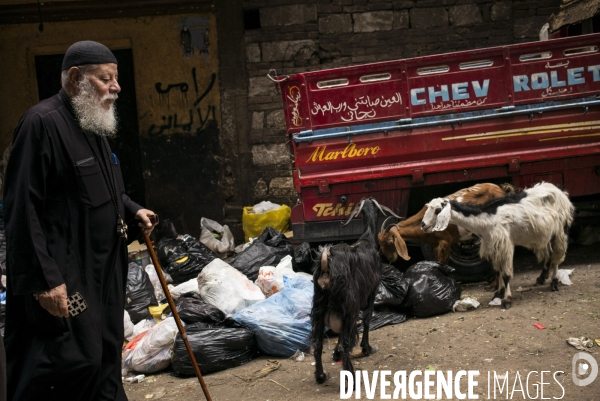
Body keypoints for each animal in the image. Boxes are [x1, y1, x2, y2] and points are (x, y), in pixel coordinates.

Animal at [310, 197, 404, 388]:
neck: (367, 240)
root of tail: (326, 262)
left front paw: (335, 353)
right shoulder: (372, 291)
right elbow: (367, 319)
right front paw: (367, 348)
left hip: (319, 307)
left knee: (317, 343)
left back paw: (321, 376)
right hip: (349, 305)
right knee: (347, 342)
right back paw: (352, 378)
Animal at [378, 183, 512, 264]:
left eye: (390, 241)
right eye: (380, 243)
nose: (389, 258)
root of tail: (502, 190)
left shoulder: (444, 242)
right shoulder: (436, 245)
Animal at [420, 183, 576, 308]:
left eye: (437, 210)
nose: (423, 225)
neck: (485, 219)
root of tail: (559, 191)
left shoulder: (504, 243)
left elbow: (505, 274)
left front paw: (506, 300)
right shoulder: (493, 244)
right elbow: (498, 270)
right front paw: (498, 294)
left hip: (560, 230)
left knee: (557, 256)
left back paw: (554, 283)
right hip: (545, 233)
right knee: (549, 254)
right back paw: (541, 278)